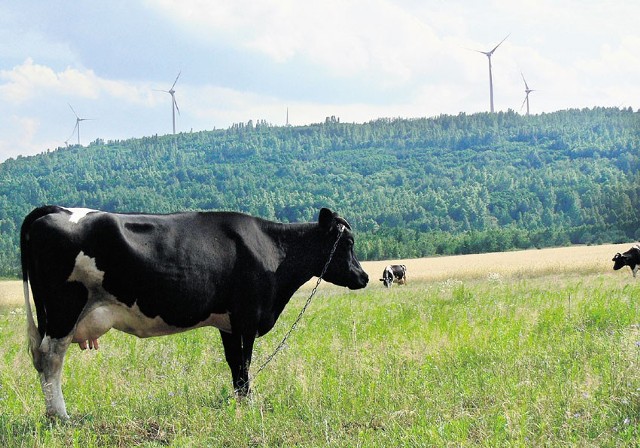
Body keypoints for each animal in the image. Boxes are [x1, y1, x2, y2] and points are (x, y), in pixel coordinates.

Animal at [21, 206, 370, 420]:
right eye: (348, 242)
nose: (364, 277)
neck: (272, 249)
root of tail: (56, 209)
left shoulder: (229, 324)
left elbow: (235, 365)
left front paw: (239, 402)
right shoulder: (247, 318)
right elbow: (245, 363)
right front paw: (249, 404)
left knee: (41, 358)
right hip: (65, 309)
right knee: (51, 358)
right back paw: (60, 415)